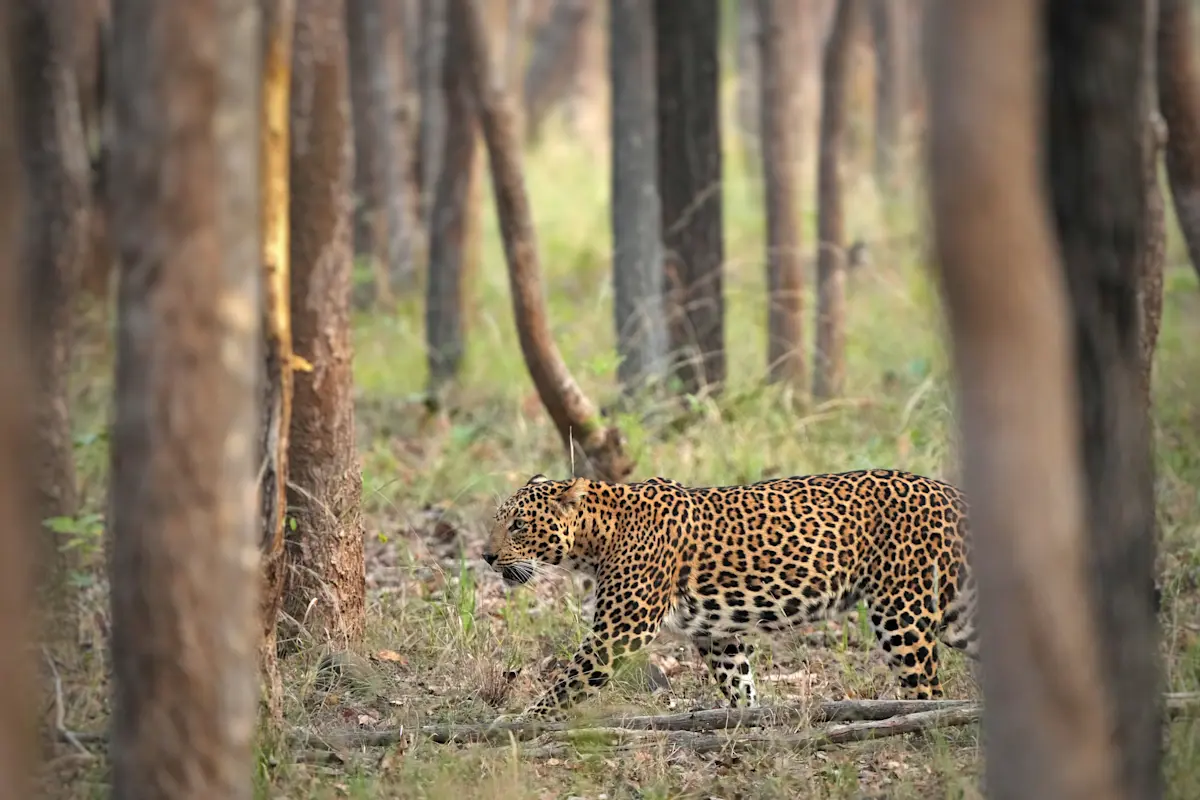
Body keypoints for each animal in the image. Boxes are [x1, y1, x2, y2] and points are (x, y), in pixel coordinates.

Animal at [482, 469, 979, 718]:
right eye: (497, 520)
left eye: (519, 525)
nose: (485, 556)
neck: (595, 538)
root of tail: (956, 495)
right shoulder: (715, 635)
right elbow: (740, 684)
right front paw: (750, 725)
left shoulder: (619, 633)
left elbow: (566, 685)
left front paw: (516, 725)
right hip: (959, 614)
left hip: (902, 613)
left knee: (926, 691)